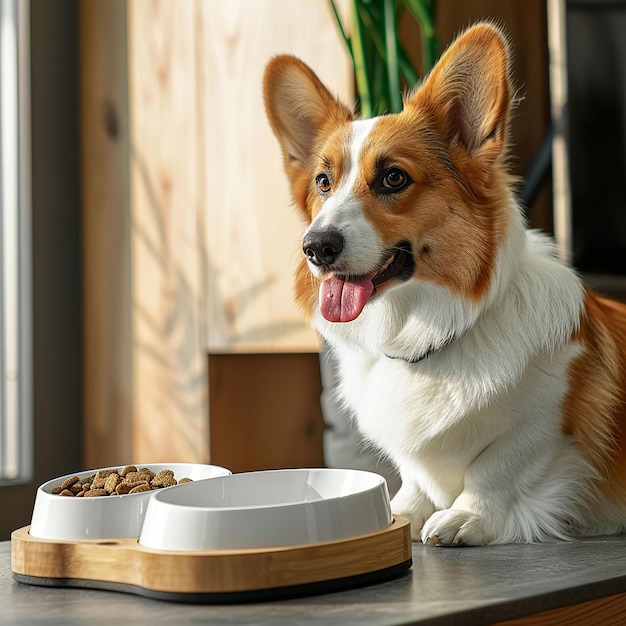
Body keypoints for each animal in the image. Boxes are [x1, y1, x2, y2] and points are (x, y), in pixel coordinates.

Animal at [260, 22, 624, 544]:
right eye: (323, 182)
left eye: (393, 178)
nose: (316, 247)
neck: (425, 334)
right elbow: (414, 478)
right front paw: (400, 511)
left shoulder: (547, 418)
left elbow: (498, 465)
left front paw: (468, 516)